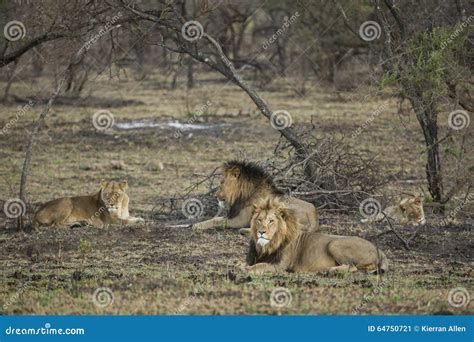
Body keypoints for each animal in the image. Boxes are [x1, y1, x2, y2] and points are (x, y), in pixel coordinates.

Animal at [244, 196, 388, 274]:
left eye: (271, 221)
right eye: (259, 220)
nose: (261, 232)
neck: (267, 246)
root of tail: (379, 249)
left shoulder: (280, 265)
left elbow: (261, 265)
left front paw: (246, 269)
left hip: (335, 244)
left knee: (352, 267)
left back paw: (329, 270)